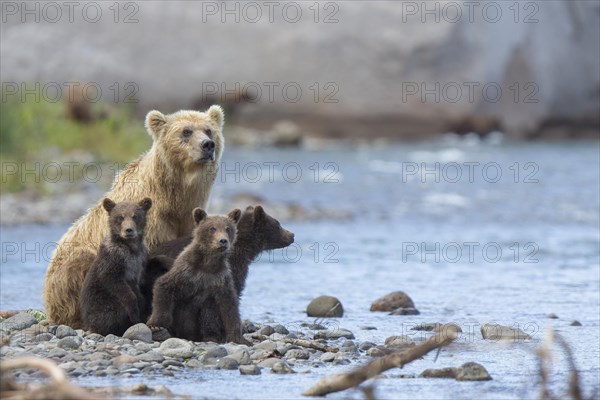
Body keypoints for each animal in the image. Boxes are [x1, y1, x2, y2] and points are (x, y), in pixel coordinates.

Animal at [78, 198, 152, 336]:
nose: (129, 230)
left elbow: (137, 289)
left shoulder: (139, 262)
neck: (131, 248)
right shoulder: (114, 259)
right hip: (102, 304)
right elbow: (114, 282)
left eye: (135, 216)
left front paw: (141, 307)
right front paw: (135, 313)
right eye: (120, 217)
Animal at [146, 209, 250, 344]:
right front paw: (155, 324)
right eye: (212, 228)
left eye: (228, 228)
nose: (223, 241)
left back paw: (210, 336)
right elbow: (163, 286)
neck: (208, 264)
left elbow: (229, 307)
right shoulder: (186, 272)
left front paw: (239, 338)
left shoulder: (220, 278)